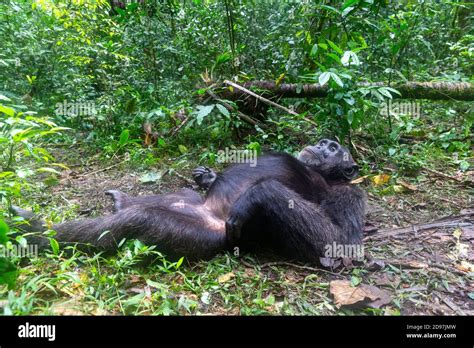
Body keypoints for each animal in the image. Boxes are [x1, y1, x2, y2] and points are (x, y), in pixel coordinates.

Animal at [12, 138, 366, 260]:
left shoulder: (351, 194)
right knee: (179, 194)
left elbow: (336, 241)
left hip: (202, 234)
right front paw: (207, 175)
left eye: (334, 148)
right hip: (188, 204)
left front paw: (255, 196)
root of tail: (208, 214)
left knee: (136, 221)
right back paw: (123, 201)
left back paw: (35, 233)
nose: (320, 144)